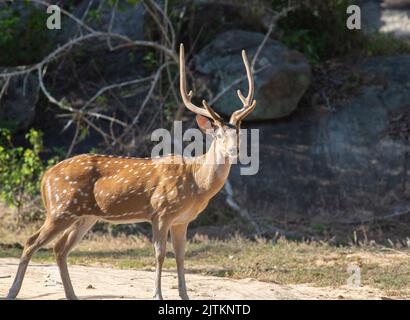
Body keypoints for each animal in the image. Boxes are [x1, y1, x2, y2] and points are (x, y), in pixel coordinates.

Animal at [6, 43, 255, 302]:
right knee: (31, 242)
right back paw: (13, 291)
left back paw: (71, 295)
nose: (234, 151)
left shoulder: (182, 220)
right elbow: (160, 254)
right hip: (60, 208)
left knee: (59, 248)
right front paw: (157, 295)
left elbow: (181, 255)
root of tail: (45, 178)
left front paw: (185, 296)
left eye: (238, 133)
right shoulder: (161, 211)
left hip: (84, 216)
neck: (197, 185)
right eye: (218, 135)